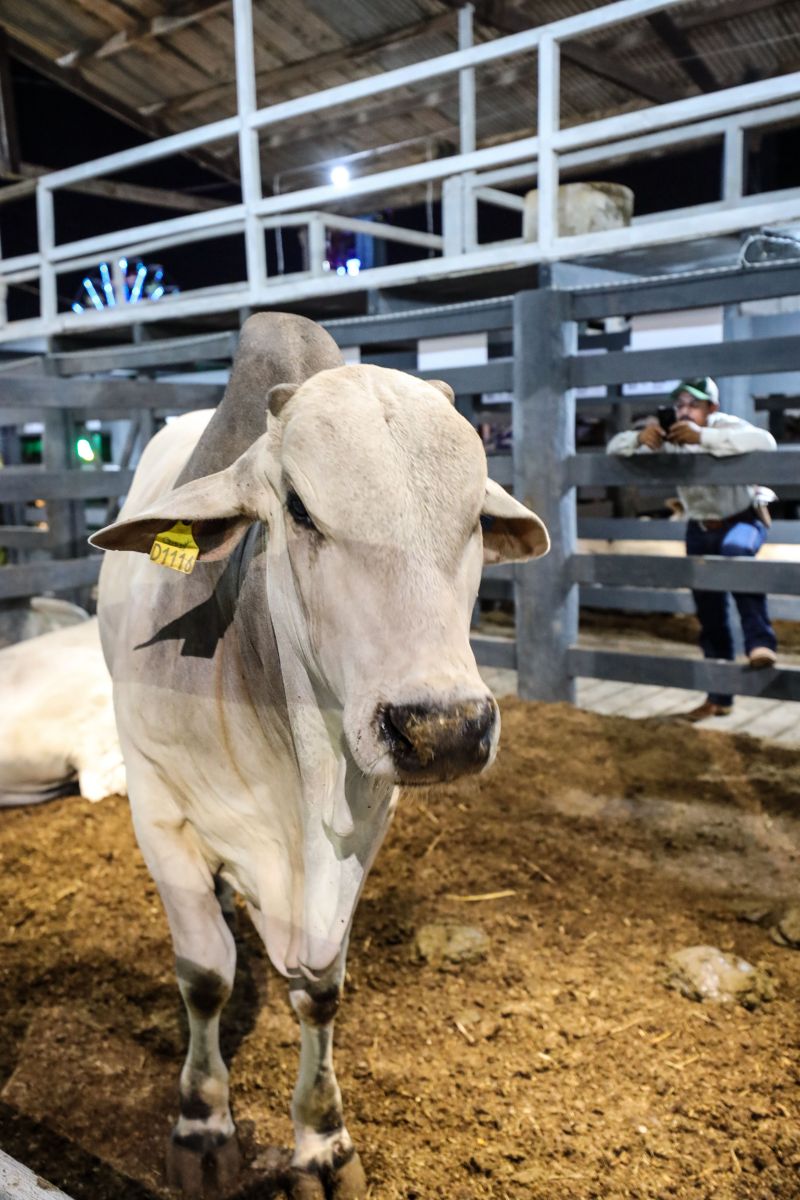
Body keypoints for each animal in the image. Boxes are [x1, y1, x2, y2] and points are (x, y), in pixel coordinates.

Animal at [90, 316, 546, 1200]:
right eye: (299, 508)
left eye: (476, 514)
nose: (445, 729)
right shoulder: (157, 808)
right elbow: (205, 973)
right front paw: (202, 1124)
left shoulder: (363, 828)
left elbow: (321, 991)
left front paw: (323, 1141)